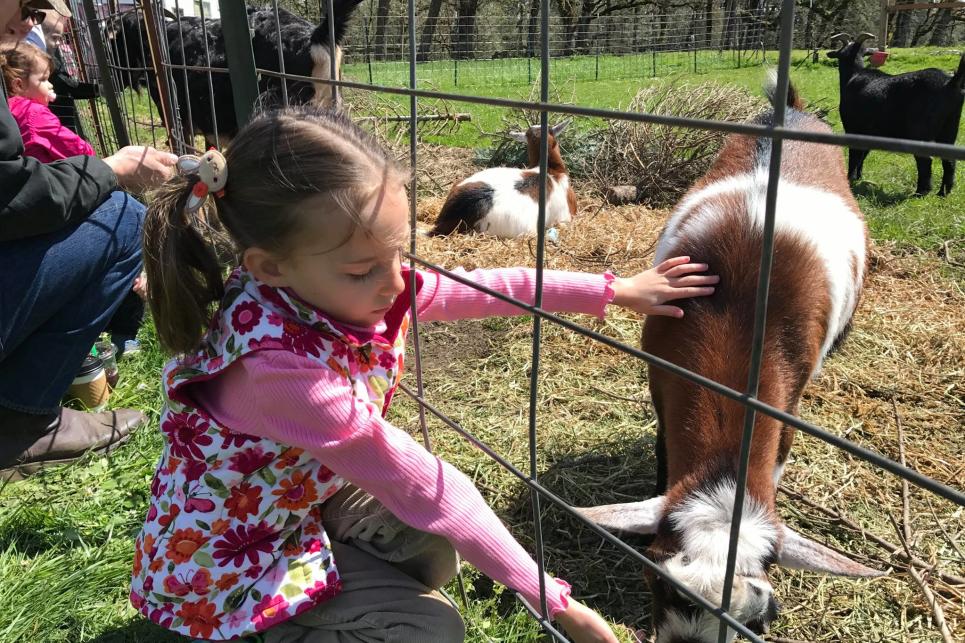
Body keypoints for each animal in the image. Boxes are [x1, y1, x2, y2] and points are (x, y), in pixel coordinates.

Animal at [572, 83, 880, 640]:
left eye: (760, 619)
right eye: (655, 581)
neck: (738, 314)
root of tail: (792, 110)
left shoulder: (790, 399)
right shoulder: (661, 380)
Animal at [824, 32, 960, 196]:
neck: (854, 75)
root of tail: (950, 83)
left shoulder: (853, 127)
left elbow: (855, 153)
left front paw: (850, 178)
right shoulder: (869, 132)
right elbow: (864, 153)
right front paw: (858, 177)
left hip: (921, 131)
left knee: (925, 159)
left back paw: (921, 192)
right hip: (950, 127)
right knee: (949, 159)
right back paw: (943, 193)